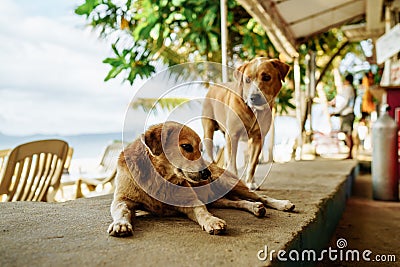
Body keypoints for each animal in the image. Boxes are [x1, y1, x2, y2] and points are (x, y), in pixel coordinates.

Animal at [108, 121, 296, 237]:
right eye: (186, 146)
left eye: (201, 149)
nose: (207, 174)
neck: (160, 177)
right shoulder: (122, 199)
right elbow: (121, 210)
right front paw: (121, 224)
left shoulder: (191, 200)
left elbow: (202, 212)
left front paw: (212, 221)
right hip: (218, 200)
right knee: (237, 202)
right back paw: (255, 208)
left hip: (231, 184)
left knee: (260, 196)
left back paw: (282, 204)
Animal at [202, 58, 290, 191]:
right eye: (247, 80)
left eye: (267, 77)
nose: (254, 97)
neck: (254, 111)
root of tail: (213, 86)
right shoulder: (232, 135)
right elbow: (233, 162)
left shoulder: (258, 138)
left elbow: (252, 163)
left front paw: (250, 182)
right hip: (208, 128)